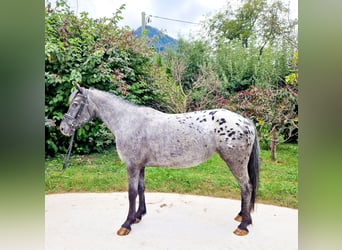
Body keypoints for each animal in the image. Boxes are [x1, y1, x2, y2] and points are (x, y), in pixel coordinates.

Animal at [60, 83, 260, 236]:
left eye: (76, 103)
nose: (63, 128)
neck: (128, 121)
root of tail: (246, 122)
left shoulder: (132, 166)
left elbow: (131, 193)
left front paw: (126, 224)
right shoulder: (140, 166)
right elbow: (141, 189)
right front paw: (139, 215)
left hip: (235, 163)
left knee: (246, 187)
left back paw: (243, 225)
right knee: (245, 188)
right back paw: (242, 216)